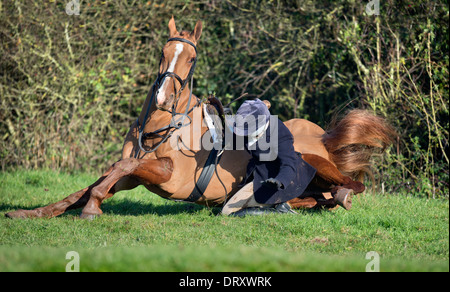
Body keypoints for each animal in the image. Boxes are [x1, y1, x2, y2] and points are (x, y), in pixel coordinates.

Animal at [5, 17, 396, 219]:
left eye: (190, 59)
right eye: (162, 53)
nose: (163, 98)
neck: (160, 129)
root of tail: (325, 137)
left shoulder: (167, 176)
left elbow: (119, 169)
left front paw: (91, 208)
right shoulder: (134, 175)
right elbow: (92, 183)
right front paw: (33, 213)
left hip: (315, 161)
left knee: (349, 186)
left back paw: (334, 196)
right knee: (316, 196)